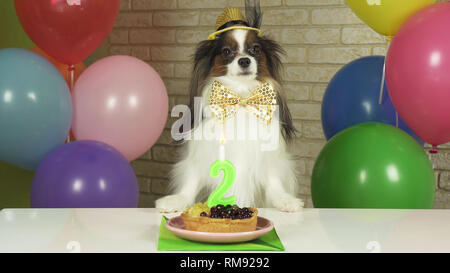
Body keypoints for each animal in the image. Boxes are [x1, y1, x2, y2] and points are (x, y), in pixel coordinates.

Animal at [155, 0, 302, 211]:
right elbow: (191, 178)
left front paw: (284, 200)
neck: (240, 96)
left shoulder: (268, 154)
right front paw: (178, 199)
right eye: (226, 51)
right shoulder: (203, 150)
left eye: (255, 49)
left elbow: (273, 179)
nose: (244, 60)